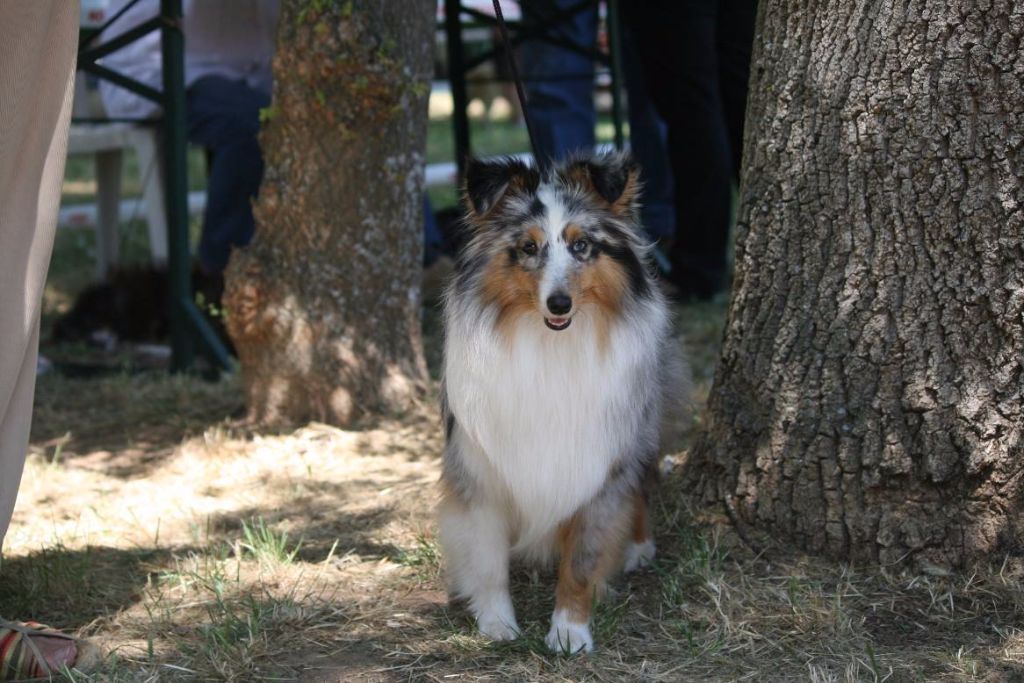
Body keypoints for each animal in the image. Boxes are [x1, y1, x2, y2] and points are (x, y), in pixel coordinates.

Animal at [438, 152, 688, 655]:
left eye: (582, 246)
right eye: (528, 247)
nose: (559, 303)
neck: (549, 344)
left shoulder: (597, 465)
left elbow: (582, 560)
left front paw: (569, 631)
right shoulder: (478, 470)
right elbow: (488, 559)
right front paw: (497, 624)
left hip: (642, 423)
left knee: (643, 479)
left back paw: (639, 545)